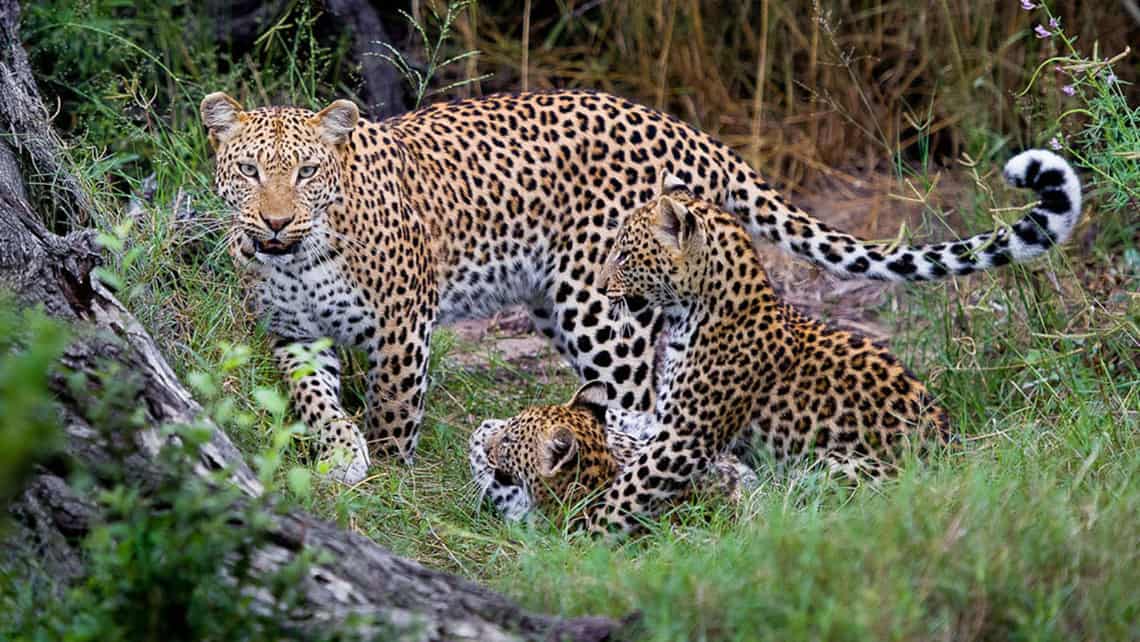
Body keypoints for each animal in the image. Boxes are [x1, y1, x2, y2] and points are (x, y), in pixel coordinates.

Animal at [200, 88, 1080, 483]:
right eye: (247, 172)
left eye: (306, 174)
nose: (273, 222)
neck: (300, 256)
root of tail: (679, 126)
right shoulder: (293, 333)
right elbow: (314, 400)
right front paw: (340, 459)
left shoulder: (400, 327)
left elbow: (392, 409)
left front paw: (388, 473)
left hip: (601, 309)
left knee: (637, 405)